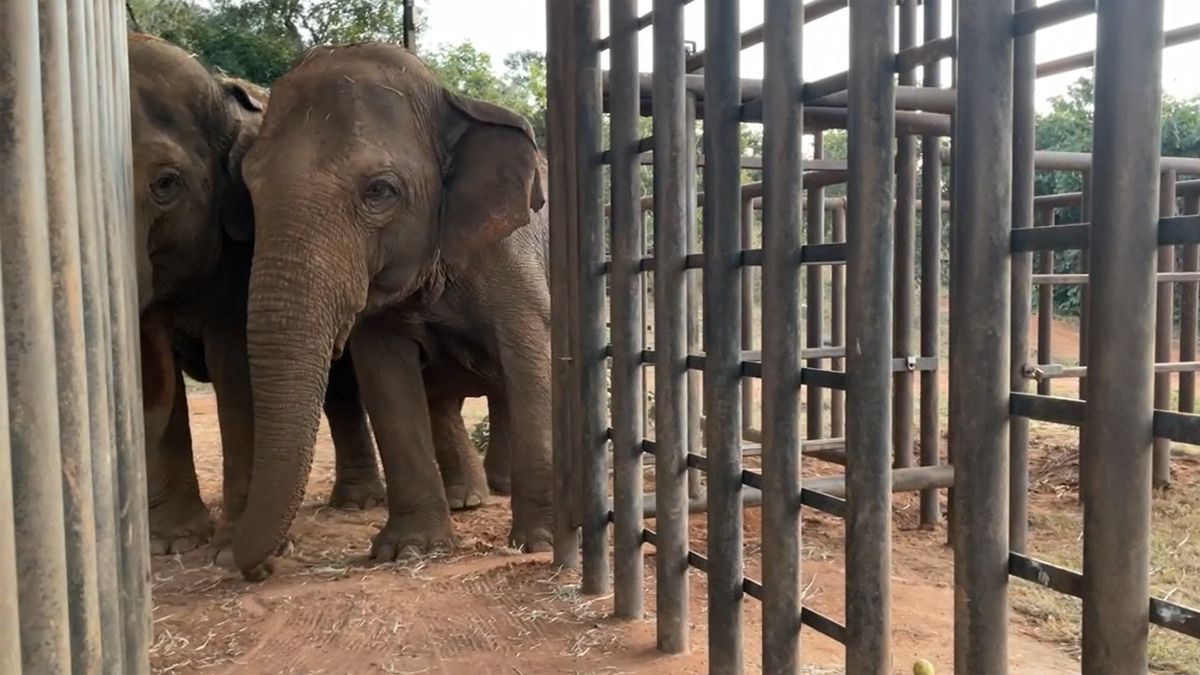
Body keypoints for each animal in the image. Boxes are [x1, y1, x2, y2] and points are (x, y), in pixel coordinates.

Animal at [127, 35, 497, 557]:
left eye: (165, 183)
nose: (253, 565)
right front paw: (176, 542)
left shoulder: (237, 267)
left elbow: (234, 367)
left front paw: (225, 548)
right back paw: (360, 502)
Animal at [229, 42, 551, 578]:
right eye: (251, 189)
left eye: (379, 190)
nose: (267, 566)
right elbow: (385, 375)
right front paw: (411, 550)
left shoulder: (512, 254)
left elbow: (532, 359)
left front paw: (543, 542)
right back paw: (468, 500)